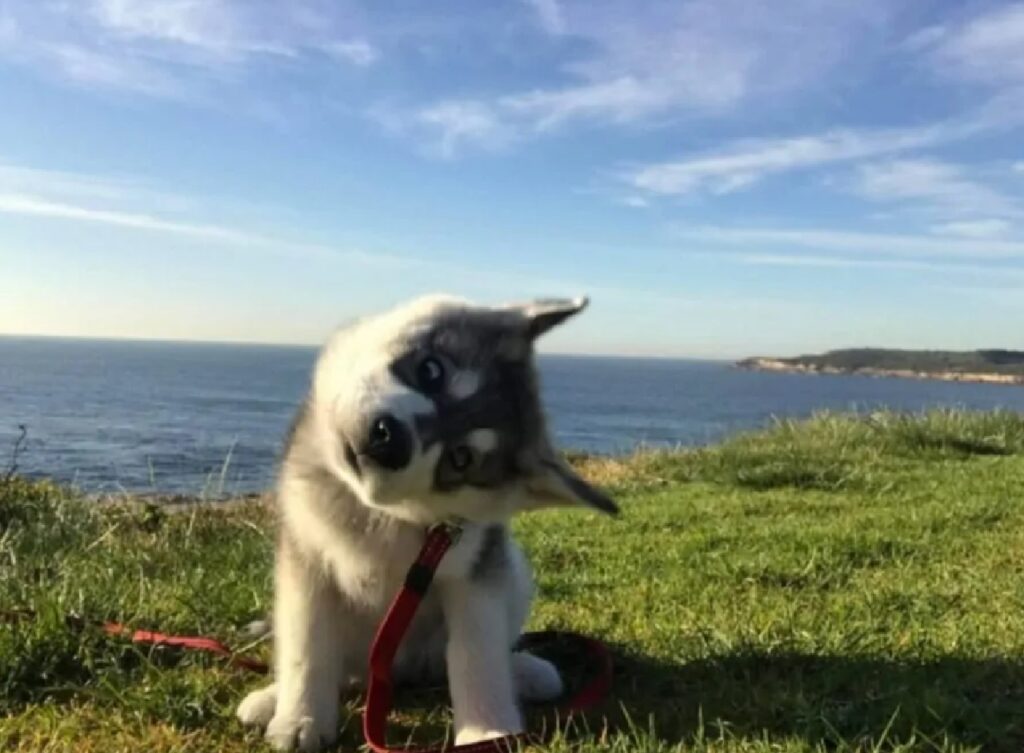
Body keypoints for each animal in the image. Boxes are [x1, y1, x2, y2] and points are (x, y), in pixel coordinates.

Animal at [235, 295, 614, 753]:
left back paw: (524, 671)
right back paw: (270, 698)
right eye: (431, 371)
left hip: (514, 575)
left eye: (460, 459)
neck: (378, 516)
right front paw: (300, 719)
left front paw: (486, 733)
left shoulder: (474, 572)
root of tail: (401, 672)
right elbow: (307, 645)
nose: (390, 439)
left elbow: (477, 653)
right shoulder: (306, 560)